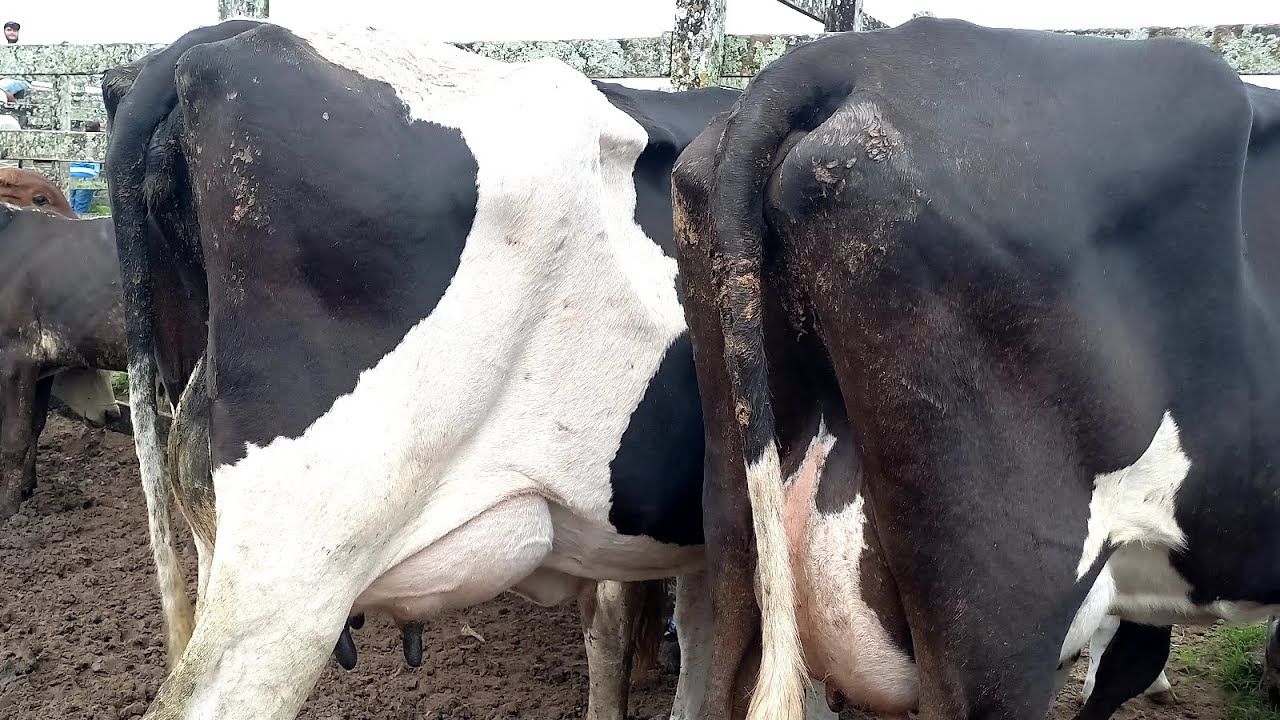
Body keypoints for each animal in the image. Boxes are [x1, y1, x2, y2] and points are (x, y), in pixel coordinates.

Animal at [0, 179, 126, 519]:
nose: (110, 414)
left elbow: (13, 439)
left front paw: (9, 511)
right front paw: (26, 487)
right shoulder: (42, 367)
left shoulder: (15, 356)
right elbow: (35, 425)